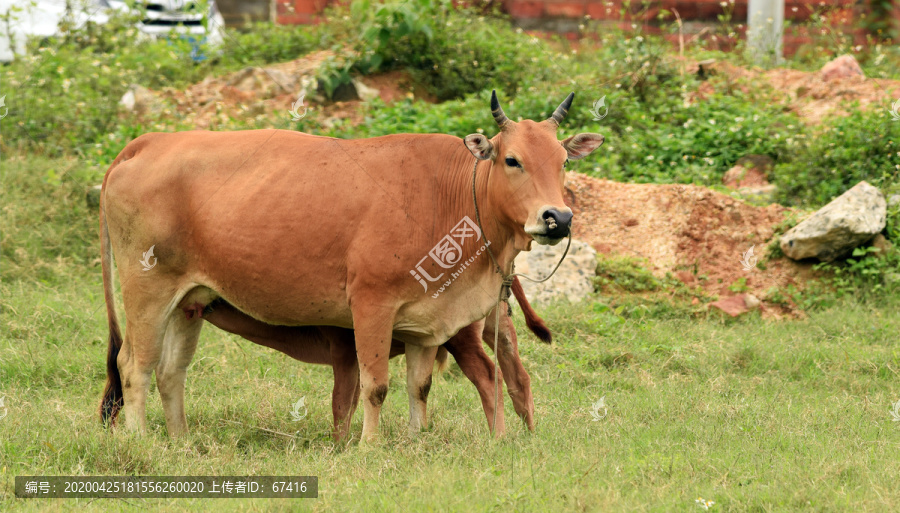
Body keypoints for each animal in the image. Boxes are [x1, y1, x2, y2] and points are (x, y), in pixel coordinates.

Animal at [201, 274, 552, 438]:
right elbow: (353, 399)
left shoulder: (345, 351)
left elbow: (342, 401)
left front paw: (340, 444)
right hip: (499, 330)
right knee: (518, 377)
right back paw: (530, 433)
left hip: (463, 339)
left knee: (489, 376)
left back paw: (498, 435)